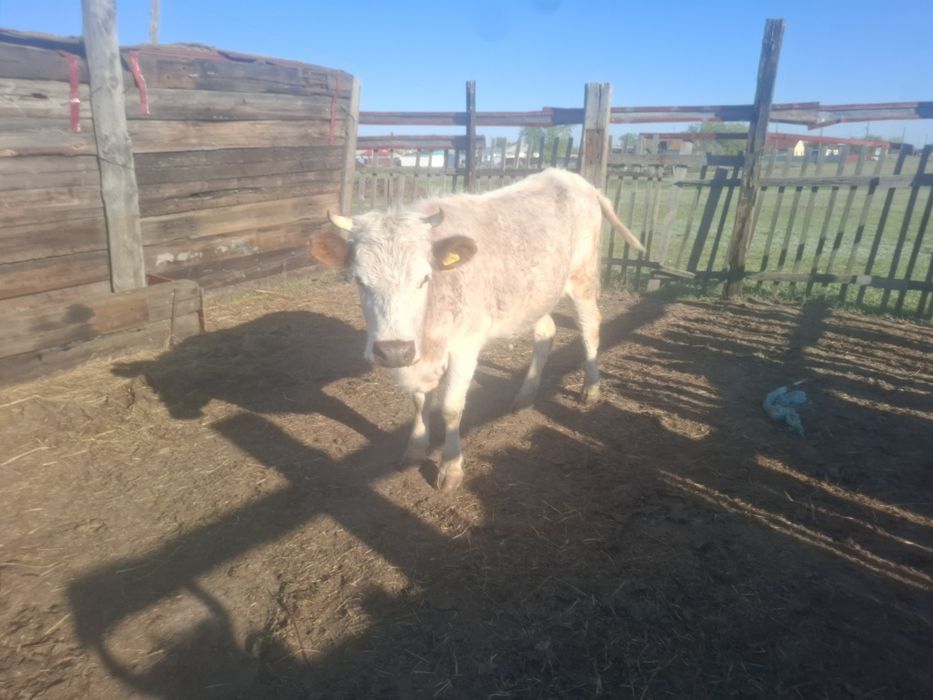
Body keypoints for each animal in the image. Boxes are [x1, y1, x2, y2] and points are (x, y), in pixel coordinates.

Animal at [310, 168, 644, 491]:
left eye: (424, 278)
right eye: (358, 280)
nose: (393, 351)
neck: (429, 334)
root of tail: (572, 178)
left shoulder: (464, 346)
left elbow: (450, 407)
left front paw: (450, 468)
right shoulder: (418, 353)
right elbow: (419, 400)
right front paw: (415, 449)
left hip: (582, 278)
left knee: (590, 328)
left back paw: (591, 389)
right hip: (537, 294)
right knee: (546, 332)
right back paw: (525, 394)